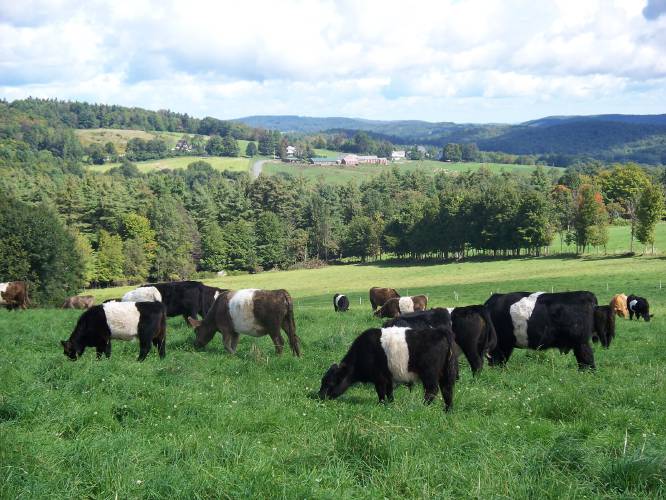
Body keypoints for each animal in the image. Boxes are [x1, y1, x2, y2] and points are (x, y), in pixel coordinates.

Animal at [316, 324, 456, 410]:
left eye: (330, 382)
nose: (319, 396)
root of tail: (439, 331)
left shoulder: (380, 379)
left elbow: (381, 393)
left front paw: (381, 405)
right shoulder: (388, 378)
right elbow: (389, 392)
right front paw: (391, 404)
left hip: (429, 373)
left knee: (432, 390)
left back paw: (423, 406)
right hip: (445, 373)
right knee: (447, 389)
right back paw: (447, 410)